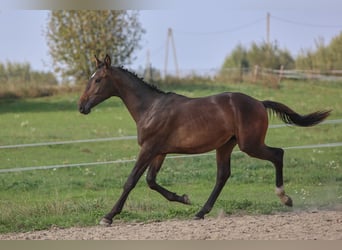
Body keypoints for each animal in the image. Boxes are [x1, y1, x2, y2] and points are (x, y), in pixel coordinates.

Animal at [79, 54, 330, 227]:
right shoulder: (159, 151)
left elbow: (131, 181)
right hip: (226, 145)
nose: (81, 107)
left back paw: (284, 198)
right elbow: (151, 181)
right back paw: (200, 212)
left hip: (250, 144)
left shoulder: (149, 149)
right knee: (223, 175)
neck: (150, 108)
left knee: (278, 154)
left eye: (98, 80)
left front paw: (108, 217)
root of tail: (259, 102)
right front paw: (184, 198)